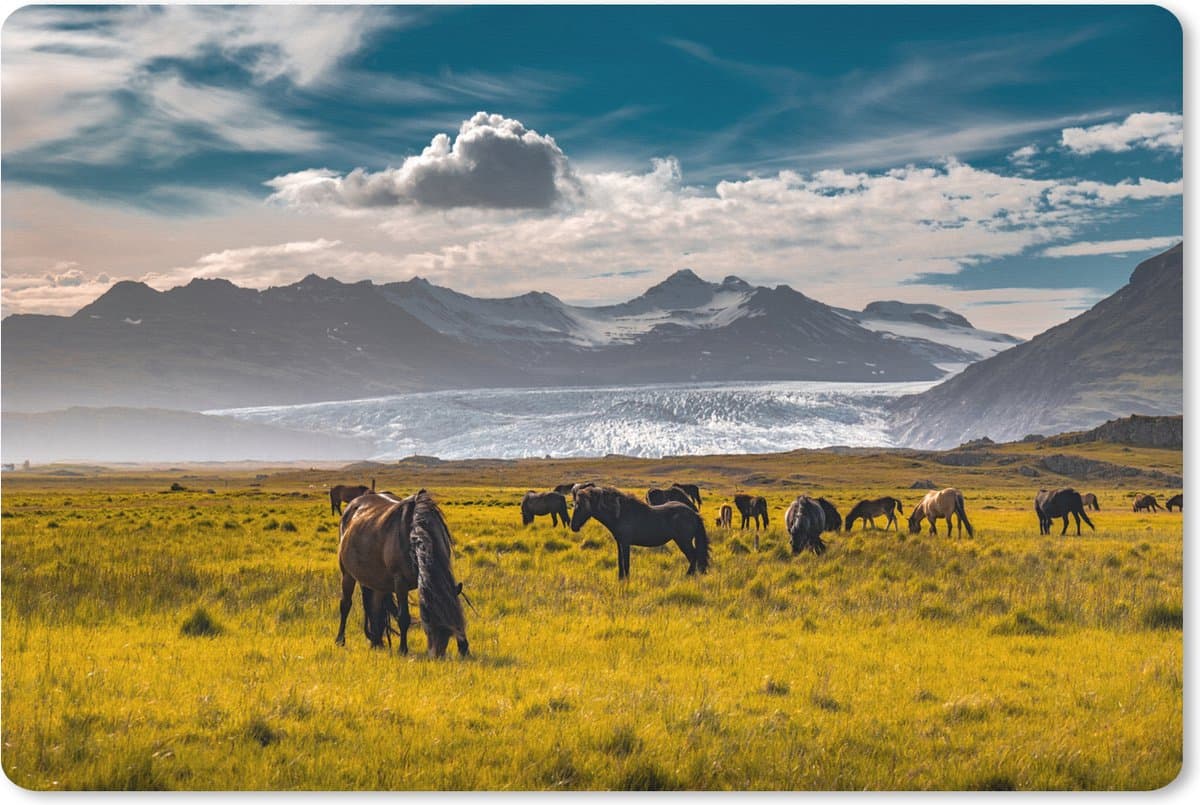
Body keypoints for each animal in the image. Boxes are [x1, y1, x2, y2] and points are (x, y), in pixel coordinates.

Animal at [336, 490, 469, 658]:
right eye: (428, 623)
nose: (437, 655)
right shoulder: (400, 583)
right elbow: (404, 617)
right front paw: (403, 649)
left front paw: (464, 647)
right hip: (347, 574)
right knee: (345, 605)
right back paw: (340, 640)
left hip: (379, 582)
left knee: (375, 608)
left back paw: (376, 643)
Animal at [570, 486, 709, 580]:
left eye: (579, 506)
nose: (573, 526)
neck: (620, 513)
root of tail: (694, 514)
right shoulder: (619, 543)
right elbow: (620, 562)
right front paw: (621, 579)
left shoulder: (625, 543)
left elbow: (626, 562)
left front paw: (626, 580)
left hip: (683, 541)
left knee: (694, 556)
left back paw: (688, 576)